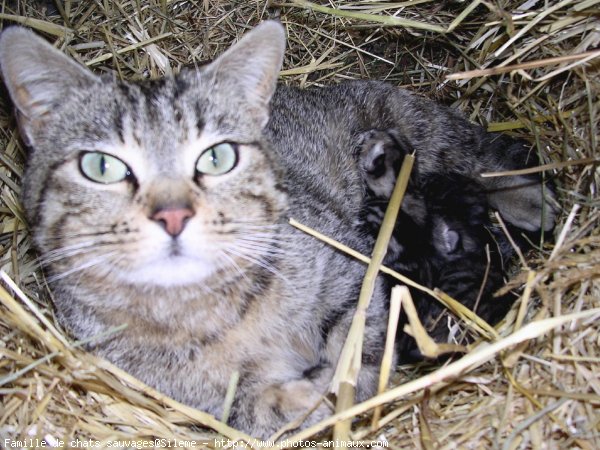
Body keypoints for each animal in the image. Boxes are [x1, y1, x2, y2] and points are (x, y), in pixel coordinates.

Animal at [0, 20, 556, 436]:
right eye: (102, 167)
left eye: (218, 157)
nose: (173, 215)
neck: (208, 308)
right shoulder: (183, 395)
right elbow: (251, 408)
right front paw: (302, 397)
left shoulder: (350, 269)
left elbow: (360, 337)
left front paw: (346, 381)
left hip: (422, 127)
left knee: (479, 158)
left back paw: (534, 200)